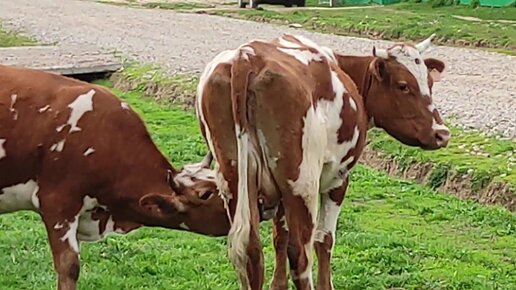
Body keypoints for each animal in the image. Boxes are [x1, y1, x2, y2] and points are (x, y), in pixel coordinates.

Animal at [191, 34, 450, 290]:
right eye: (403, 85)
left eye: (430, 83)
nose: (442, 133)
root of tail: (247, 56)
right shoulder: (338, 178)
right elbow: (324, 239)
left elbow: (279, 236)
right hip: (303, 183)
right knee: (300, 254)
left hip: (234, 179)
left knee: (251, 251)